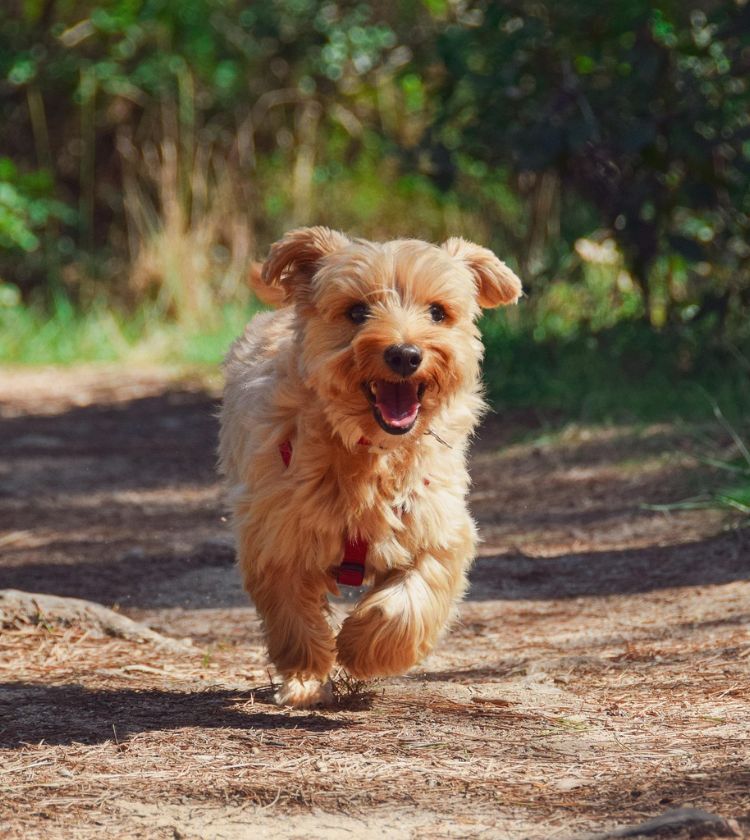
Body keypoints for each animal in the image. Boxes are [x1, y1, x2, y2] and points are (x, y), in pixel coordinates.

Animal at [217, 226, 524, 704]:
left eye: (438, 312)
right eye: (357, 311)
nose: (405, 354)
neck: (371, 453)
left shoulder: (438, 527)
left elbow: (409, 600)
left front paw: (362, 648)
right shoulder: (276, 533)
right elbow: (293, 614)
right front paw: (307, 674)